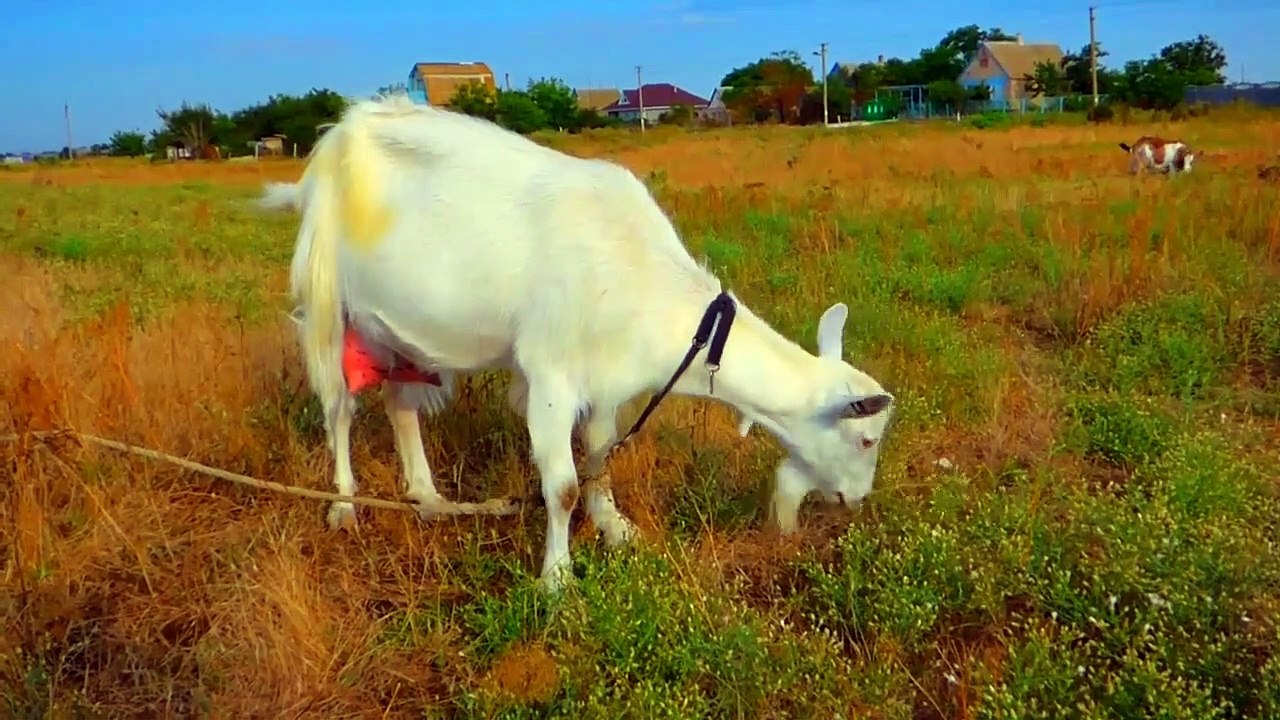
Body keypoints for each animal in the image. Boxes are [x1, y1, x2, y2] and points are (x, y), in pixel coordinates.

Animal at [257, 95, 895, 592]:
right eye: (865, 439)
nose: (857, 502)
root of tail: (337, 135)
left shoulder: (606, 380)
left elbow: (598, 458)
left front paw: (615, 528)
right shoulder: (551, 376)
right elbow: (562, 485)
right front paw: (557, 579)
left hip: (404, 328)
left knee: (398, 402)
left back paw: (429, 498)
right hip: (326, 299)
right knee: (339, 408)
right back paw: (344, 506)